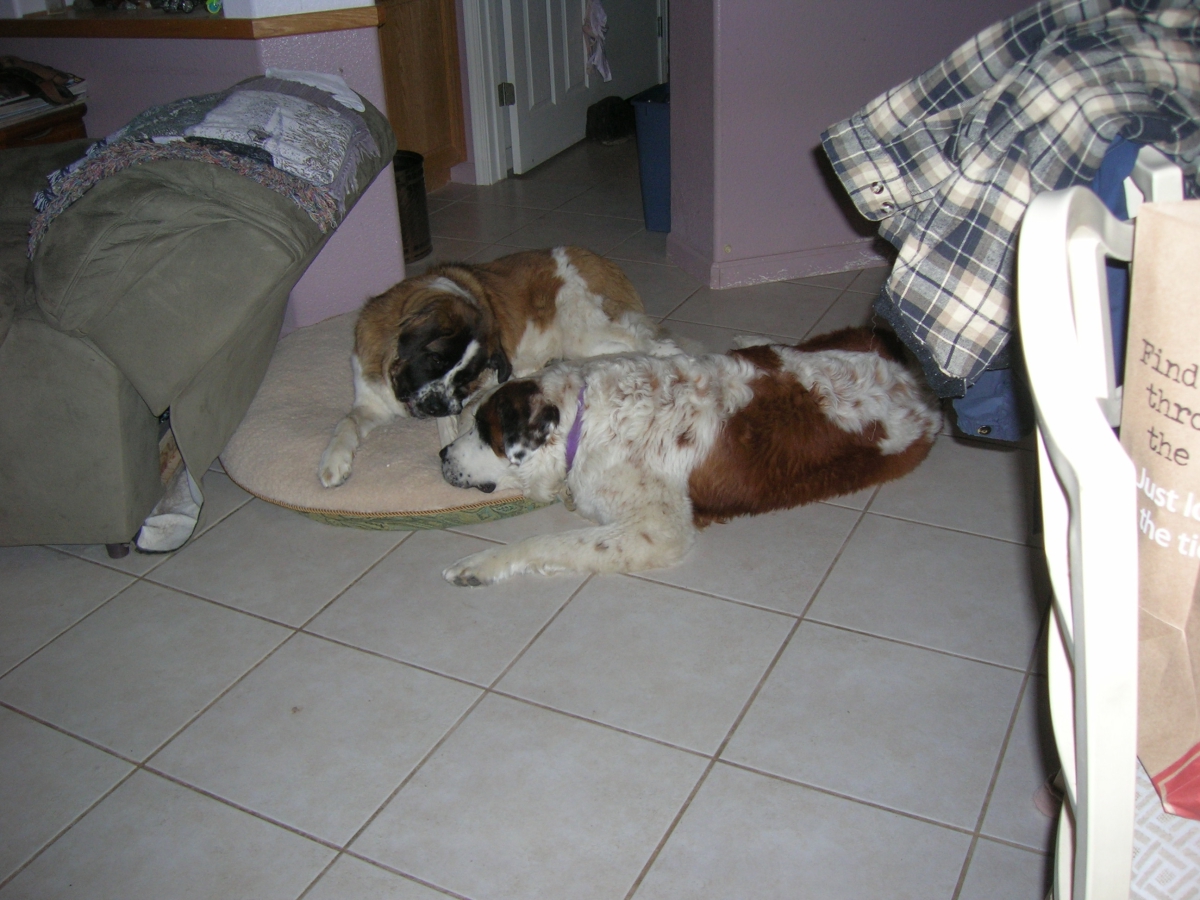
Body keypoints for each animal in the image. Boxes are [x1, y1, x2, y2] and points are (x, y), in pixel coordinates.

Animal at [319, 246, 676, 488]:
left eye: (466, 377)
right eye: (435, 360)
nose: (436, 405)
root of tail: (600, 259)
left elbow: (456, 417)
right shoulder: (370, 399)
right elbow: (347, 422)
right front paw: (333, 462)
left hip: (585, 335)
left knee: (657, 346)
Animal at [438, 327, 943, 585]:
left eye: (481, 430)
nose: (442, 453)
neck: (584, 417)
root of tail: (909, 376)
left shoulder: (657, 530)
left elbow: (546, 543)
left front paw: (480, 564)